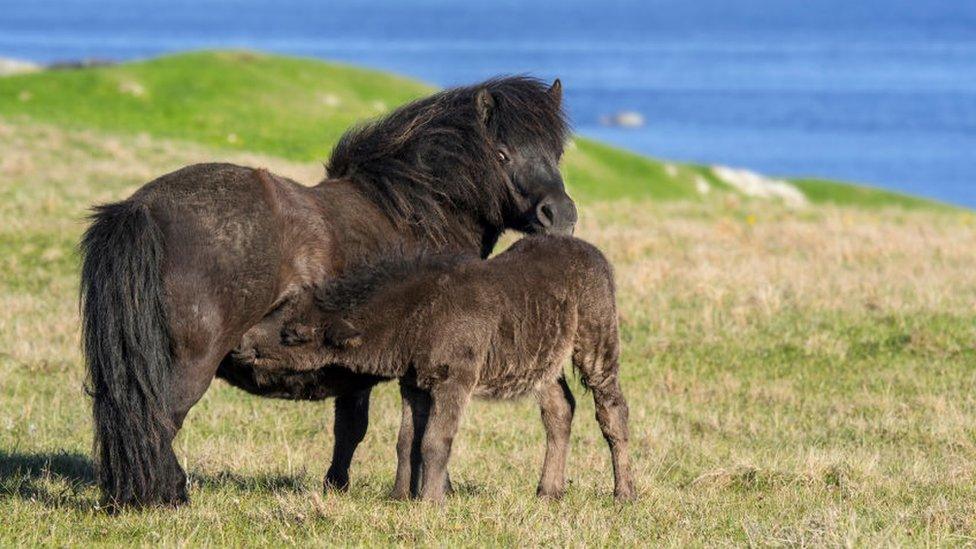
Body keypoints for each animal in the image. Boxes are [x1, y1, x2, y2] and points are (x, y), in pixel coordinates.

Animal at [82, 75, 580, 508]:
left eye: (557, 152)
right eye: (502, 153)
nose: (560, 215)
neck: (415, 215)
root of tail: (142, 209)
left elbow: (353, 429)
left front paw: (338, 486)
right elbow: (412, 432)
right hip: (189, 367)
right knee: (158, 422)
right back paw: (167, 495)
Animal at [240, 234, 636, 500]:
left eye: (294, 334)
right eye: (280, 308)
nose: (243, 342)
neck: (420, 312)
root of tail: (593, 252)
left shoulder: (454, 381)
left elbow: (434, 441)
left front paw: (431, 502)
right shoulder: (414, 383)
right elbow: (407, 441)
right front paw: (399, 497)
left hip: (597, 340)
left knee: (611, 409)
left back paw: (624, 493)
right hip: (543, 360)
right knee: (559, 409)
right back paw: (548, 491)